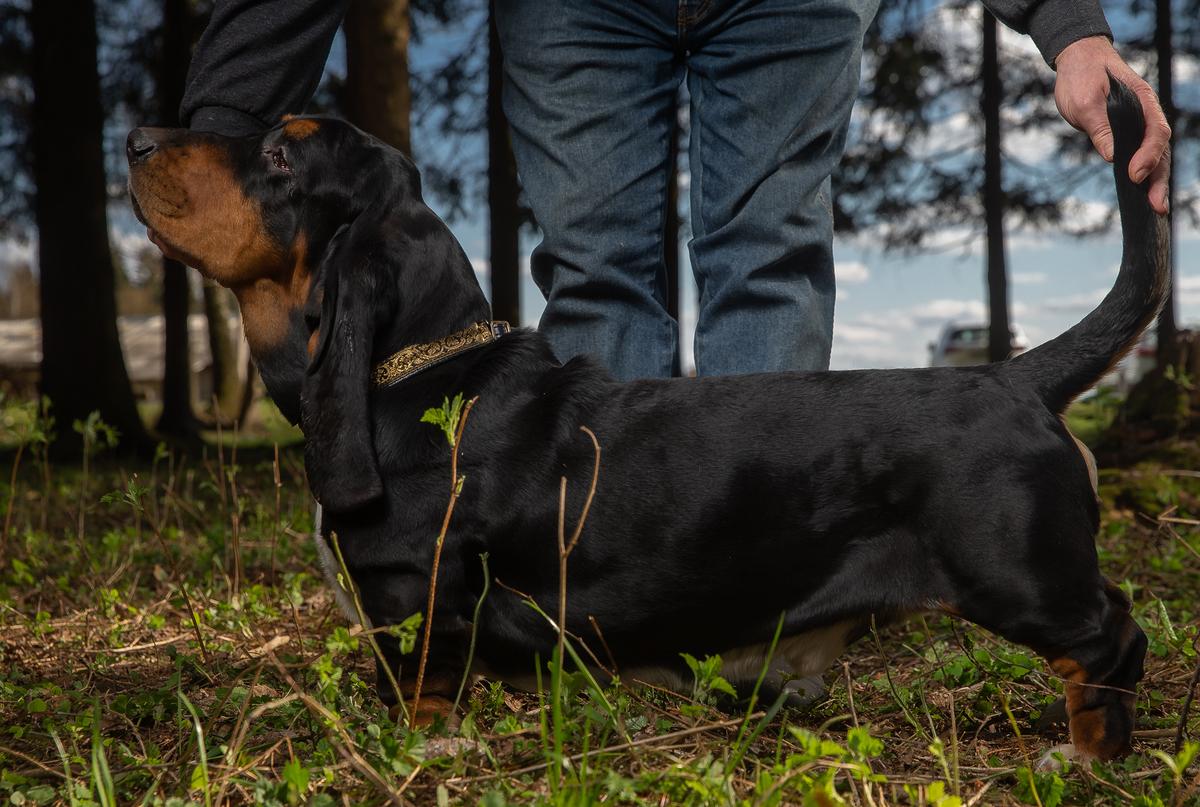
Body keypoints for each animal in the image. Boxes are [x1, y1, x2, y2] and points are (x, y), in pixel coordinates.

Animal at [126, 77, 1166, 763]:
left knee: (1111, 640)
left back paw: (1088, 757)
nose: (134, 138)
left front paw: (424, 759)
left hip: (1018, 576)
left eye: (282, 153)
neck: (423, 371)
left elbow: (423, 701)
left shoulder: (418, 605)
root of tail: (1017, 378)